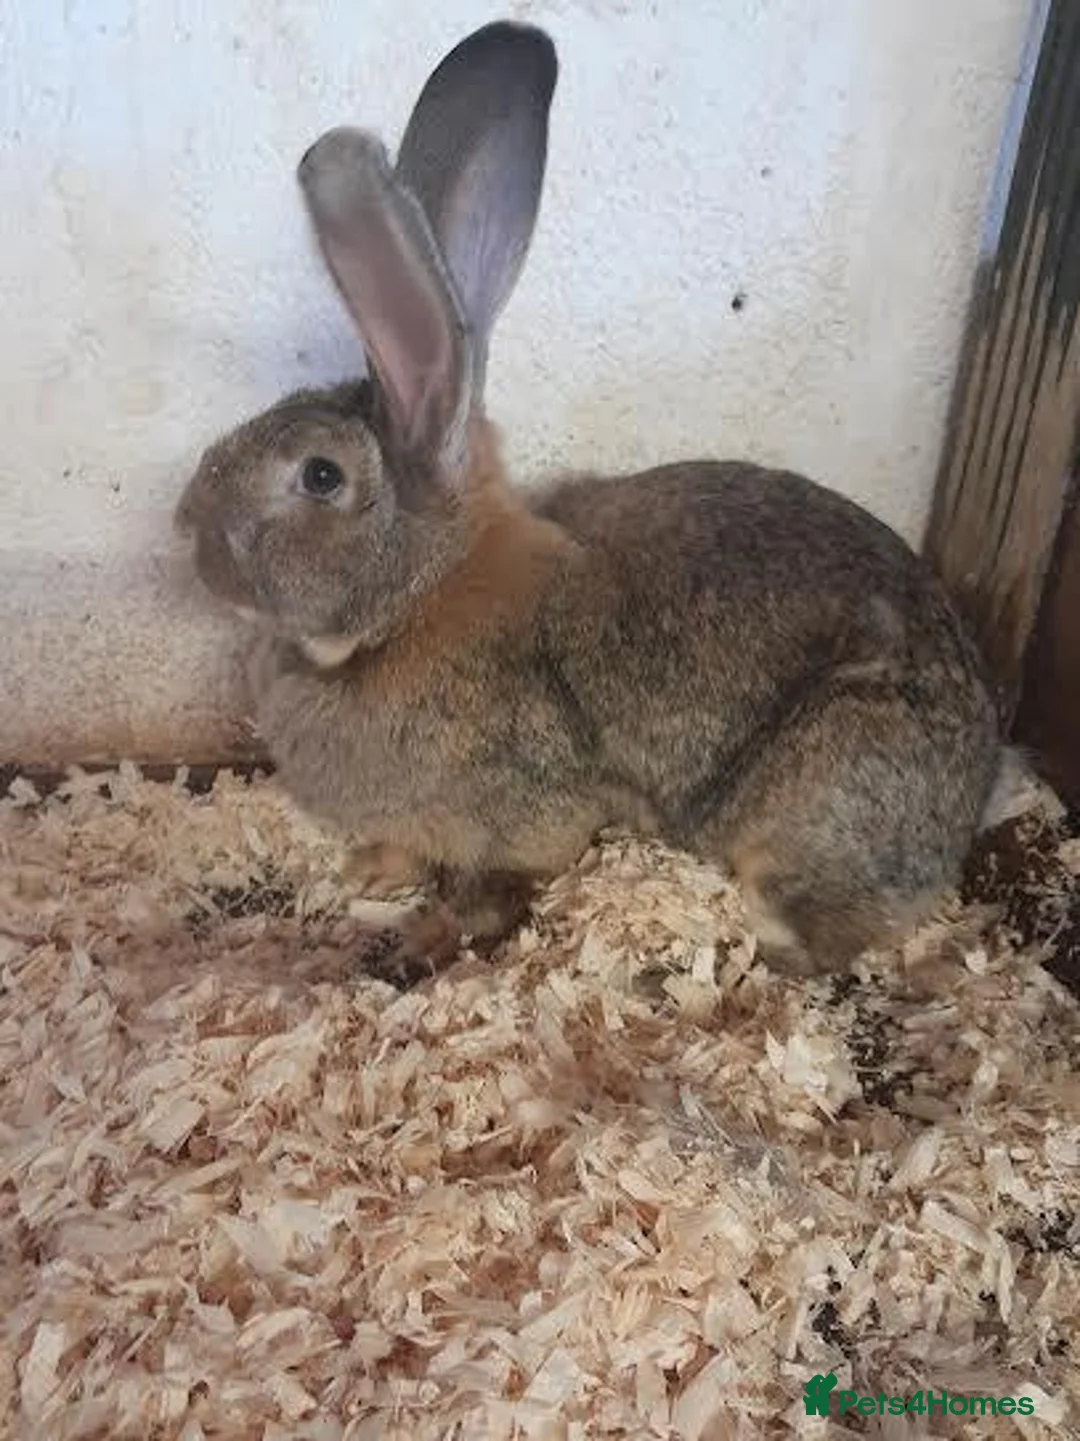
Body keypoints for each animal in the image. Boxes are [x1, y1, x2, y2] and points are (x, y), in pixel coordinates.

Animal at [176, 20, 1002, 988]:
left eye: (319, 477)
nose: (186, 531)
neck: (417, 602)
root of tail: (965, 810)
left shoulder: (525, 813)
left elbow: (488, 886)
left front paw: (425, 929)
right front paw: (369, 868)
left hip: (823, 783)